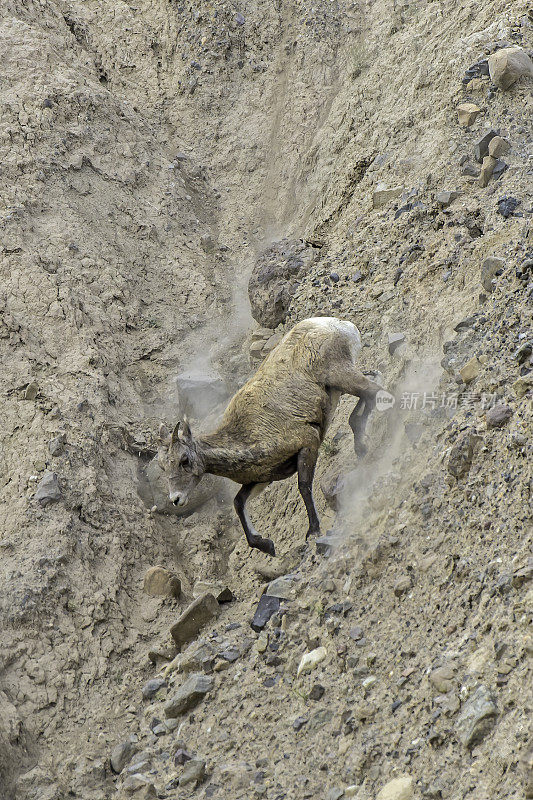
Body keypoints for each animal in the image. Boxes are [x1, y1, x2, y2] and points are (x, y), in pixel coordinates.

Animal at [158, 314, 382, 556]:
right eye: (163, 466)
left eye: (184, 460)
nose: (176, 499)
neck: (247, 436)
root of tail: (339, 325)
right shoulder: (263, 479)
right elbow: (238, 503)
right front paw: (266, 545)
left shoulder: (307, 444)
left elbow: (303, 486)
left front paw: (313, 532)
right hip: (342, 383)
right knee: (373, 385)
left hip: (342, 376)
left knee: (374, 392)